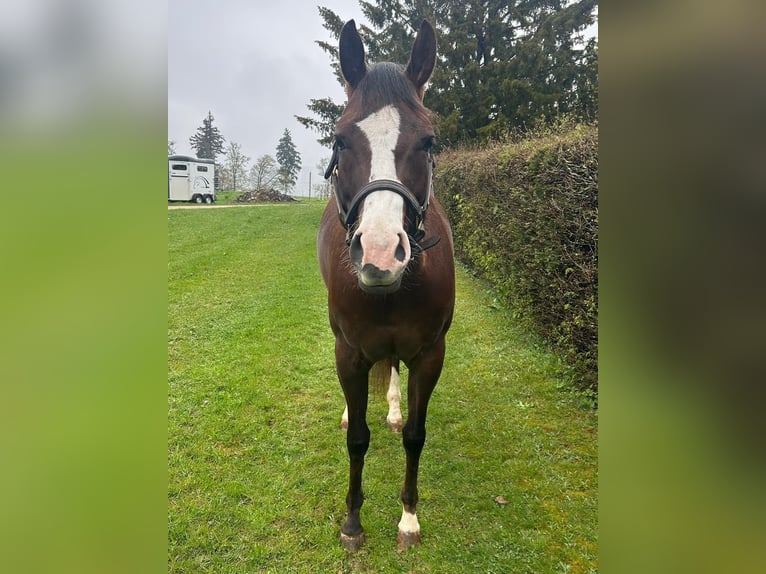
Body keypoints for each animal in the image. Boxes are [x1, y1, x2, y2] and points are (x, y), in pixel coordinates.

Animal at [317, 19, 455, 552]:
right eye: (340, 140)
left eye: (428, 142)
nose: (378, 252)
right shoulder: (350, 352)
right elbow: (357, 437)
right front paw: (353, 522)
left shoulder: (430, 354)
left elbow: (416, 435)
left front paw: (409, 518)